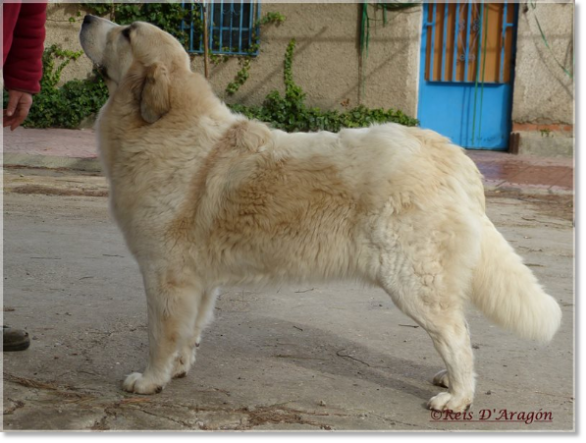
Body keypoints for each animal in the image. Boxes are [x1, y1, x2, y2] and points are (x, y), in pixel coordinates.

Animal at [80, 16, 560, 412]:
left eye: (126, 33)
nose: (86, 16)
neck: (161, 125)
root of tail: (448, 153)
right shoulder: (197, 281)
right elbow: (188, 333)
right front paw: (179, 368)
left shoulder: (165, 276)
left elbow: (160, 336)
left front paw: (150, 380)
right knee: (458, 330)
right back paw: (451, 380)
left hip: (411, 278)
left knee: (455, 335)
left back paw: (458, 396)